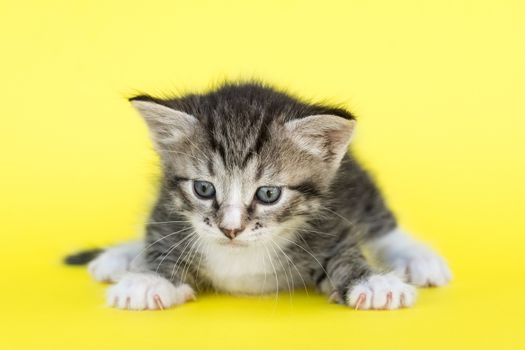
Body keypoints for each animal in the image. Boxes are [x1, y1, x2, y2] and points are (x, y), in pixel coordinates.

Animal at [68, 82, 450, 312]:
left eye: (268, 193)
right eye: (203, 189)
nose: (231, 229)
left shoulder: (332, 224)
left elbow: (346, 255)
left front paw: (372, 282)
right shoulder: (165, 212)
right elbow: (161, 246)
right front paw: (150, 279)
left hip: (358, 184)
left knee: (382, 225)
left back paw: (419, 259)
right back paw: (120, 257)